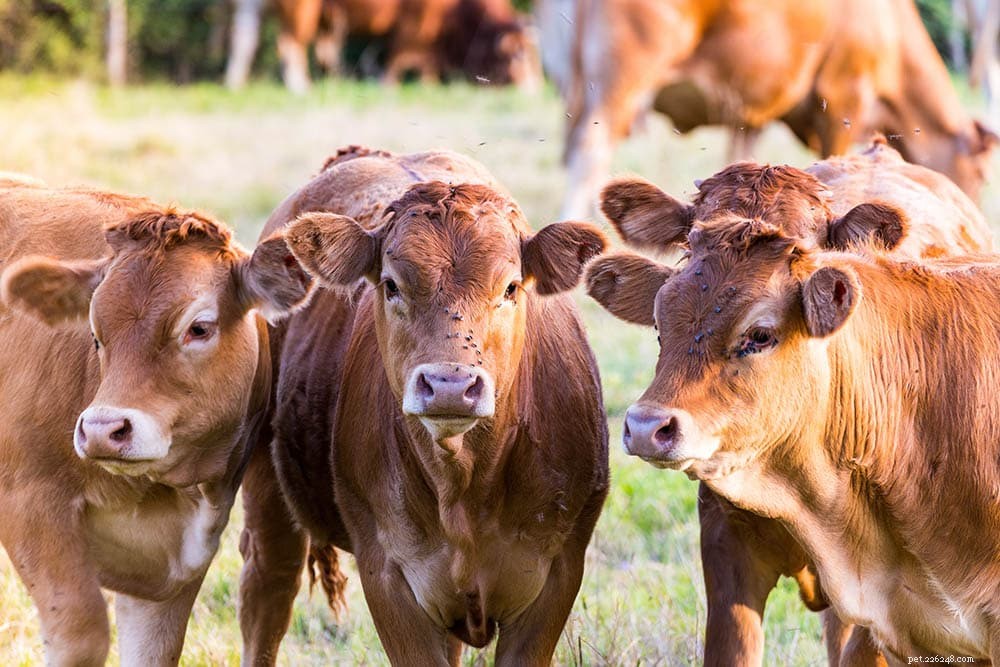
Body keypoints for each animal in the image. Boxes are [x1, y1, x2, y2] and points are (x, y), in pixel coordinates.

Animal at [0, 178, 313, 665]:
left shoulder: (173, 570)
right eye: (95, 333)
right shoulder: (29, 502)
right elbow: (82, 630)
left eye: (199, 328)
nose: (103, 431)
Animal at [237, 146, 609, 665]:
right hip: (266, 486)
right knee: (268, 592)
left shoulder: (557, 575)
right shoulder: (388, 576)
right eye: (391, 285)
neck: (465, 483)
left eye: (511, 287)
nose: (450, 385)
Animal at [542, 0, 997, 218]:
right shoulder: (844, 96)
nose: (973, 208)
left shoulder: (753, 109)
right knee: (590, 152)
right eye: (979, 174)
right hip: (623, 82)